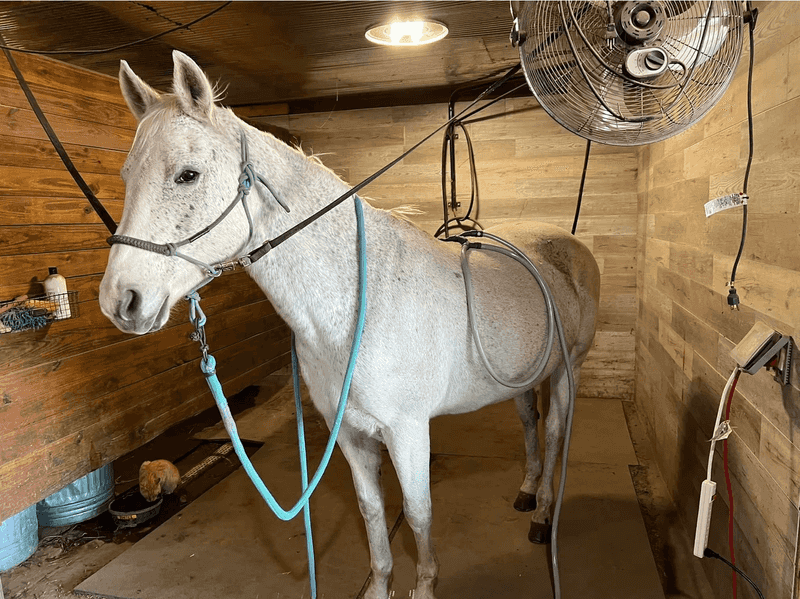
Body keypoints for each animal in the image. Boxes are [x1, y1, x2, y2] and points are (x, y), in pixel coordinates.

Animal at [99, 50, 600, 599]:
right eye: (126, 175)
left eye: (187, 175)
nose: (120, 300)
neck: (360, 303)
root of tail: (568, 244)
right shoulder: (353, 436)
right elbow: (372, 512)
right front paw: (381, 585)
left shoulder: (408, 430)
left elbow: (419, 516)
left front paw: (425, 585)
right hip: (523, 376)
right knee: (530, 423)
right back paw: (528, 491)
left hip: (568, 370)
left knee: (554, 432)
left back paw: (544, 515)